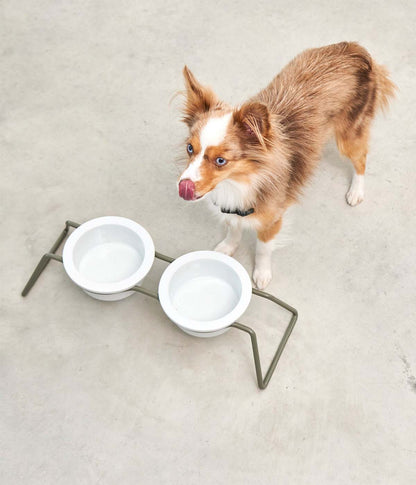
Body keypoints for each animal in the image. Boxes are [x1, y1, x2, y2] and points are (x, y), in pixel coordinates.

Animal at [175, 41, 394, 288]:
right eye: (190, 148)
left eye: (221, 161)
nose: (183, 186)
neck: (239, 181)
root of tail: (355, 49)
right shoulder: (232, 207)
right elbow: (233, 228)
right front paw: (228, 248)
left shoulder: (271, 221)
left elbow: (262, 249)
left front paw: (261, 273)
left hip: (349, 138)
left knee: (361, 159)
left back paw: (356, 191)